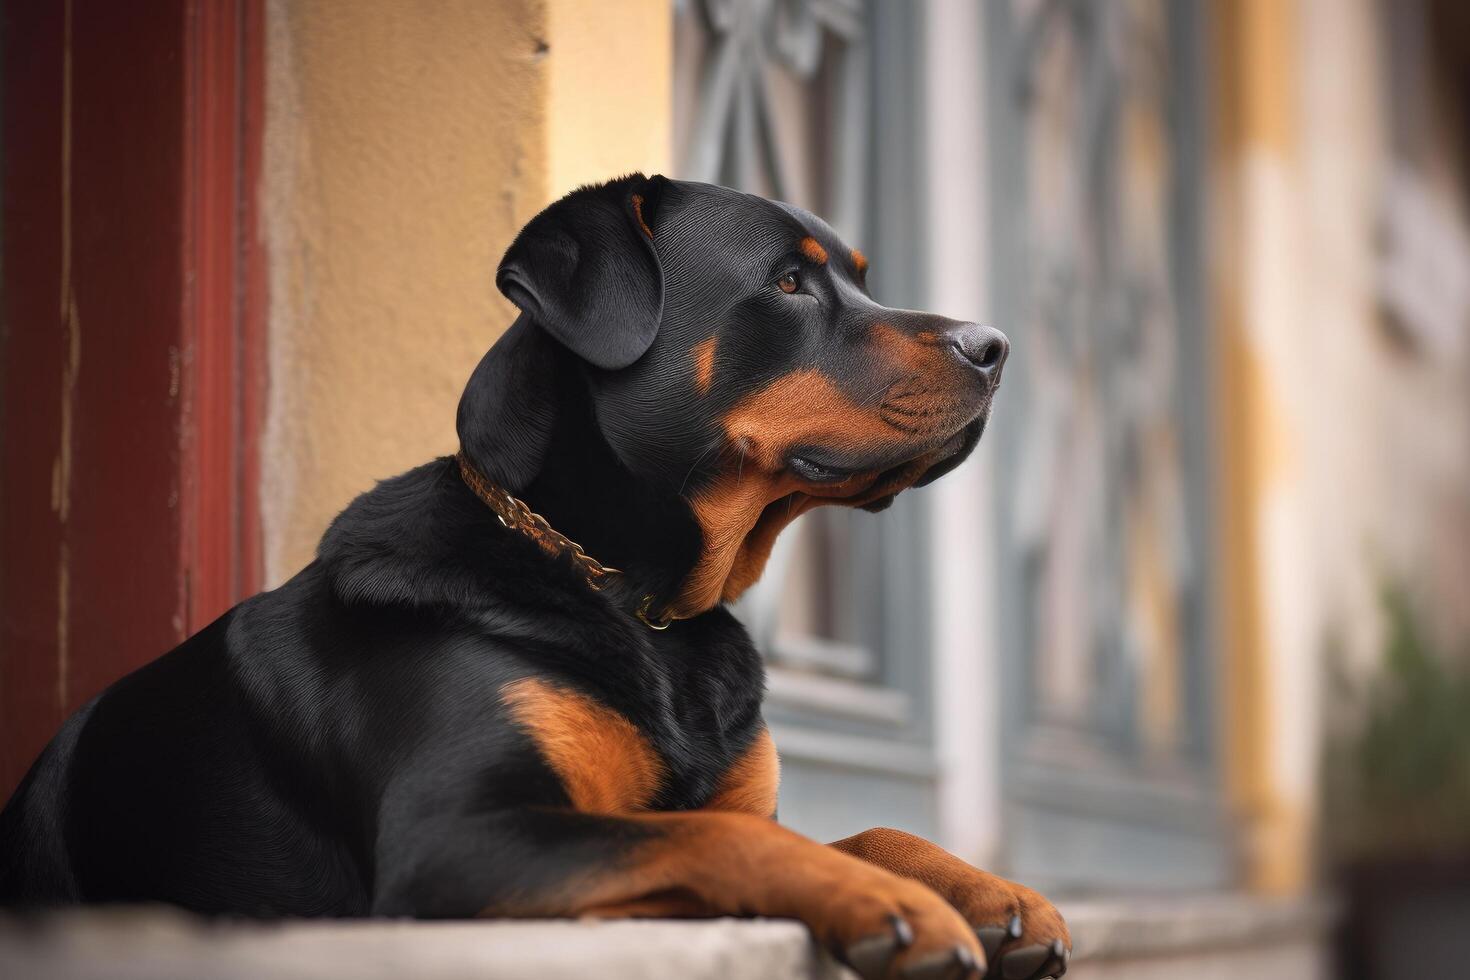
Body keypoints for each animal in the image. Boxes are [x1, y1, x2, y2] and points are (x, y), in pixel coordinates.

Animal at [0, 176, 1070, 980]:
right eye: (789, 283)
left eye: (854, 278)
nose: (994, 347)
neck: (637, 603)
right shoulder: (455, 837)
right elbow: (725, 842)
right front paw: (891, 904)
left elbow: (850, 827)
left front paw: (987, 890)